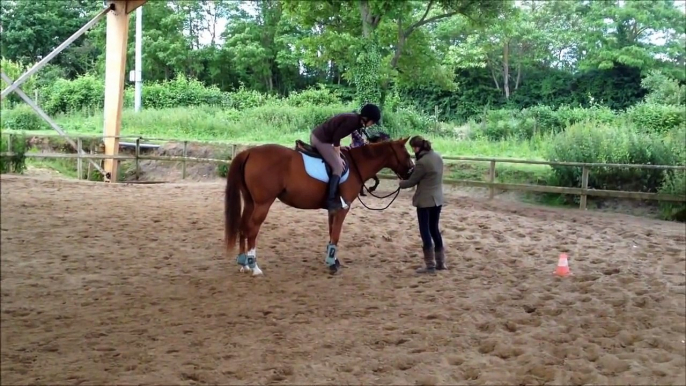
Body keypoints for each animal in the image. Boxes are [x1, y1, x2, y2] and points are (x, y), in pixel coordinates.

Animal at [224, 136, 414, 274]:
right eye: (406, 154)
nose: (411, 171)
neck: (355, 165)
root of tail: (249, 152)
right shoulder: (342, 209)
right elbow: (336, 235)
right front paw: (332, 264)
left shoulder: (333, 210)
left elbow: (331, 233)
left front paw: (333, 259)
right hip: (263, 204)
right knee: (252, 229)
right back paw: (254, 266)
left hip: (250, 202)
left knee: (243, 226)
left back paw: (243, 263)